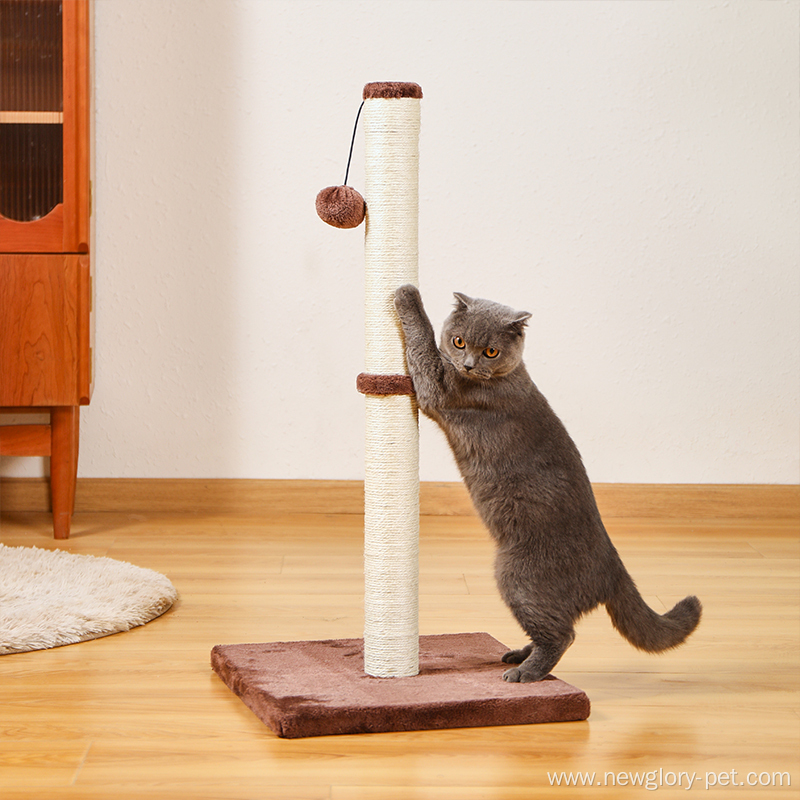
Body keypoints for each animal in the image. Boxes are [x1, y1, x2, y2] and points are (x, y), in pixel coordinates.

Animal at [394, 284, 700, 684]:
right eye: (459, 341)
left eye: (490, 351)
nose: (469, 365)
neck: (503, 376)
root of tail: (613, 567)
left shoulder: (439, 387)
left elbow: (424, 345)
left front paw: (407, 294)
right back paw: (516, 654)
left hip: (519, 575)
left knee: (562, 635)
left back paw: (525, 672)